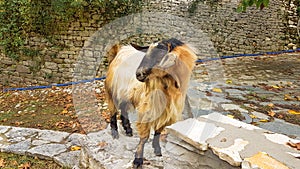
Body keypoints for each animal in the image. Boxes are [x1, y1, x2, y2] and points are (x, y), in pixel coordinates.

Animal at [105, 38, 197, 168]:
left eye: (160, 54)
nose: (139, 74)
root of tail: (119, 50)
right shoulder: (148, 109)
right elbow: (144, 136)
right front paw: (138, 160)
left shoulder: (166, 112)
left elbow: (158, 131)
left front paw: (157, 150)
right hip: (111, 90)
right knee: (113, 111)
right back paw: (115, 133)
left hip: (126, 93)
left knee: (123, 109)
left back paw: (128, 129)